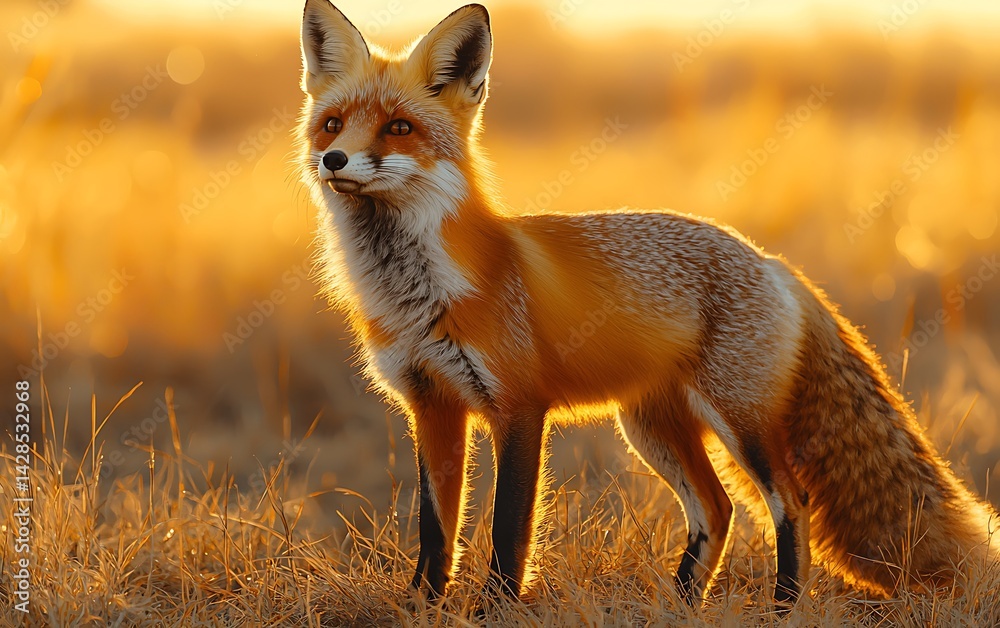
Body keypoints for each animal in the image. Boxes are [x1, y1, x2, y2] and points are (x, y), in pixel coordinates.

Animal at [297, 0, 998, 608]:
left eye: (399, 128)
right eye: (332, 123)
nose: (334, 158)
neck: (419, 295)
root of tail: (771, 261)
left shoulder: (518, 406)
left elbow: (507, 528)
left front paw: (495, 608)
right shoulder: (432, 405)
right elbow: (436, 529)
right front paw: (420, 605)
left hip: (738, 420)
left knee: (790, 501)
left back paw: (783, 606)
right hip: (652, 427)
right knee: (717, 508)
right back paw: (683, 604)